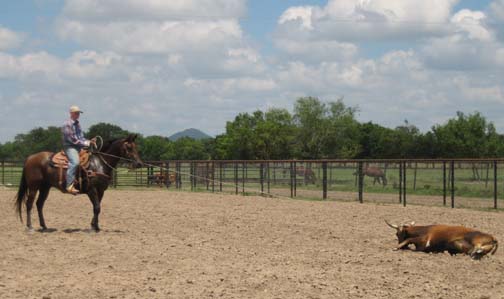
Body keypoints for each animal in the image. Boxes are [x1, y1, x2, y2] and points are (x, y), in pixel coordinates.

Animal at [14, 135, 143, 233]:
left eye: (135, 147)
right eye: (129, 147)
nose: (139, 164)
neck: (99, 164)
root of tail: (30, 158)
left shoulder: (101, 191)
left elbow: (97, 207)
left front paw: (95, 226)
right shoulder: (92, 190)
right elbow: (97, 207)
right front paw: (93, 228)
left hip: (45, 187)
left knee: (39, 204)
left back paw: (44, 226)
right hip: (34, 187)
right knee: (29, 204)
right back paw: (30, 227)